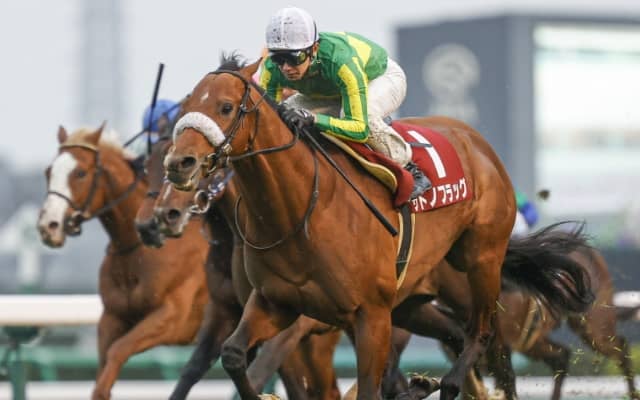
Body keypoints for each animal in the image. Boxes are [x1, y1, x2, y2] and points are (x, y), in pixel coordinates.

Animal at [37, 125, 210, 400]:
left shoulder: (173, 318)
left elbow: (118, 350)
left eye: (80, 172)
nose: (48, 226)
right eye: (48, 171)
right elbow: (102, 372)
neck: (138, 247)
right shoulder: (112, 317)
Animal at [163, 55, 594, 400]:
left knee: (483, 336)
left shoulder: (368, 315)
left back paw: (447, 383)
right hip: (411, 304)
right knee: (457, 337)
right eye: (187, 106)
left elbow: (369, 387)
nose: (179, 163)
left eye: (225, 106)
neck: (302, 209)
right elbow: (236, 357)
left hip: (481, 261)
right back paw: (424, 385)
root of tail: (477, 143)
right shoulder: (276, 304)